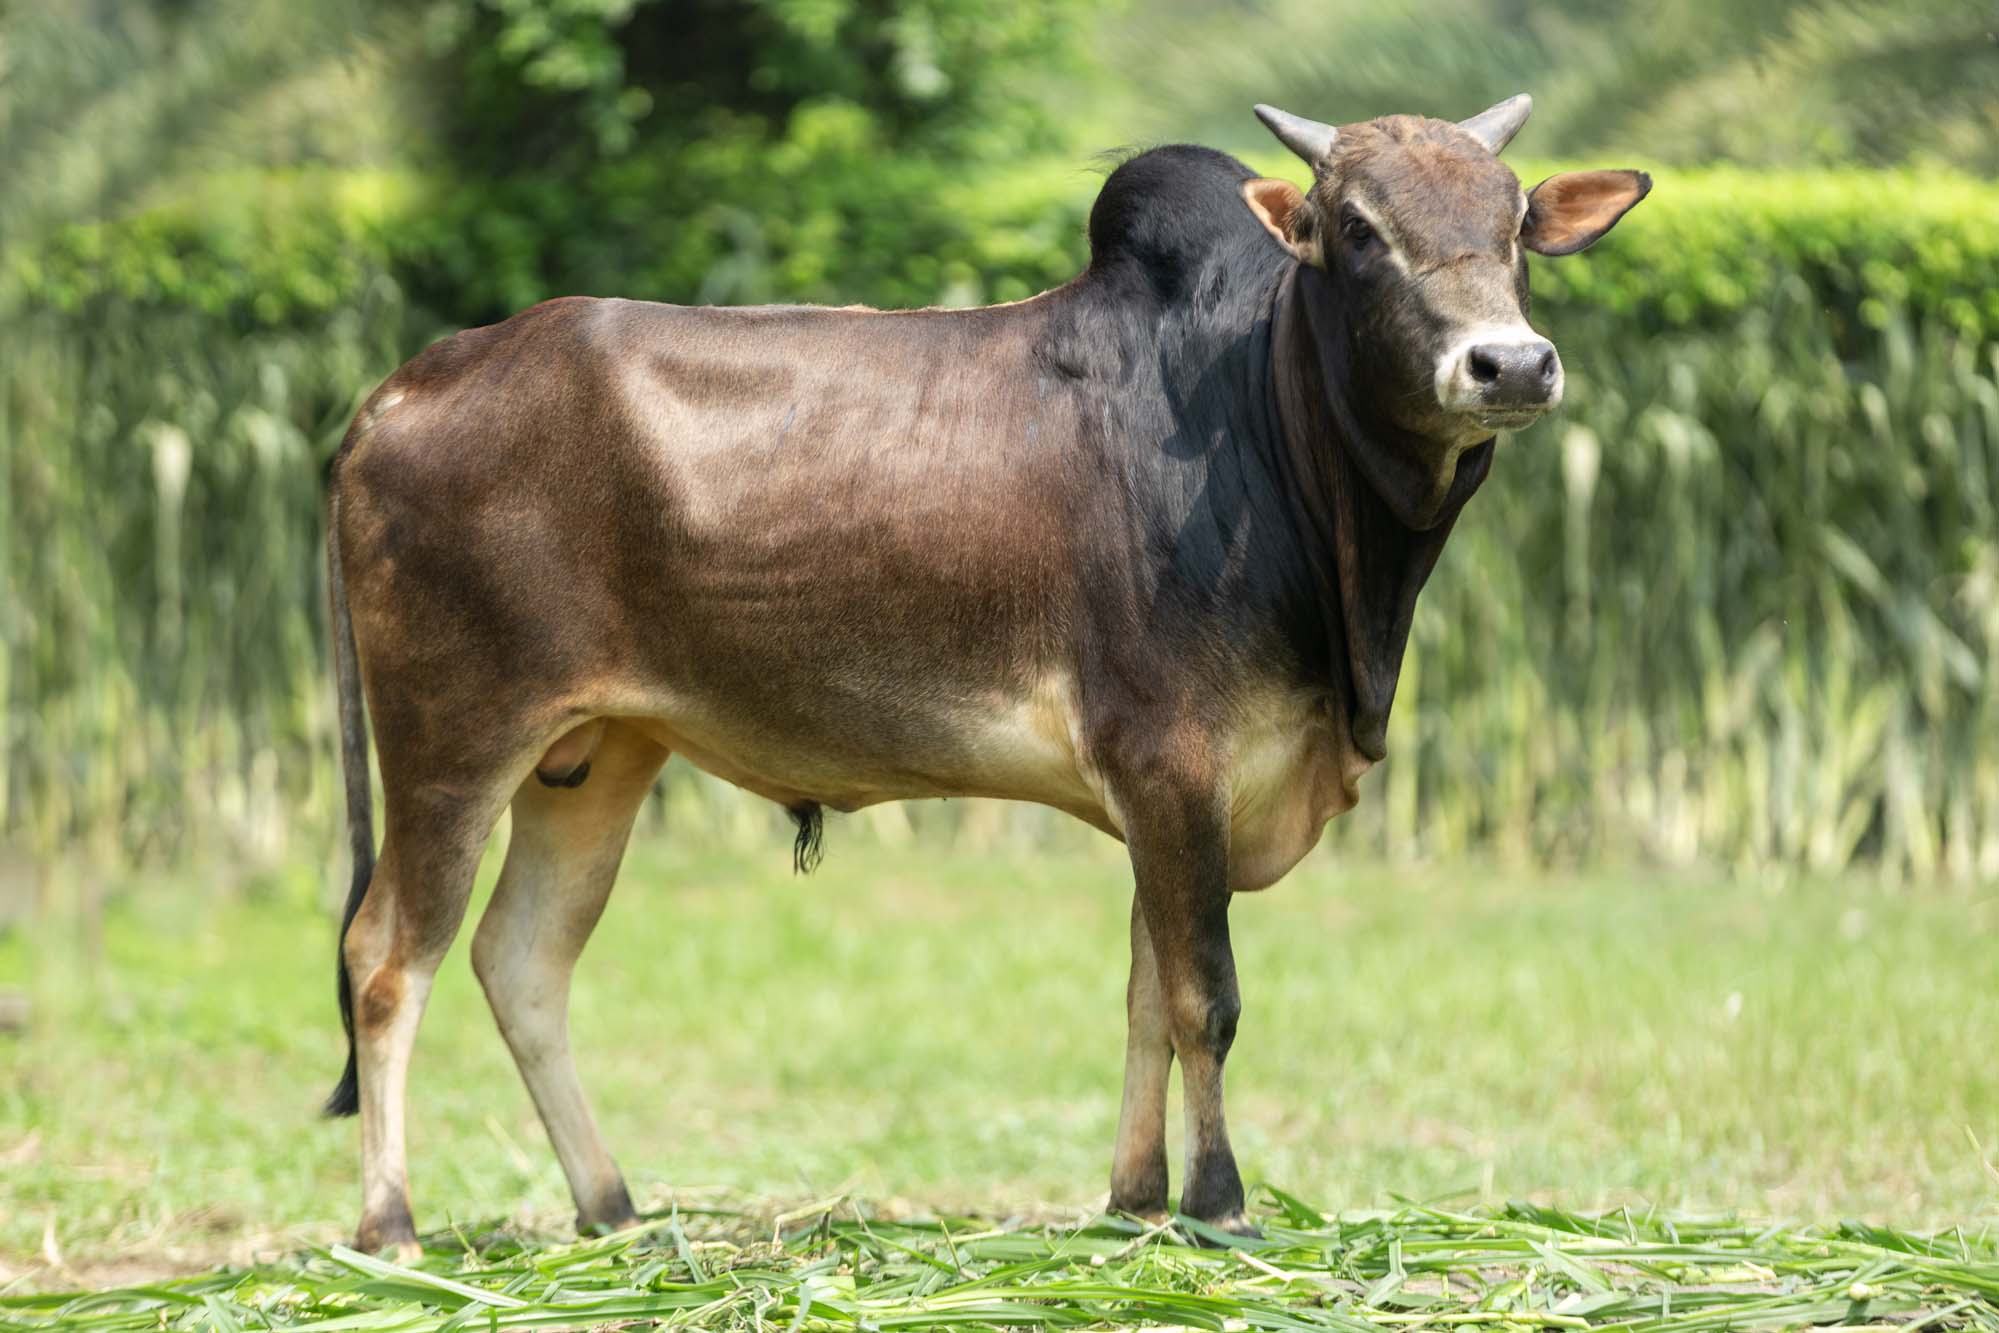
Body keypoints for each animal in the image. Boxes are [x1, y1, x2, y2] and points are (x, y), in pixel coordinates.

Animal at [322, 94, 1648, 1255]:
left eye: (1517, 221)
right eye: (1360, 229)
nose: (1509, 365)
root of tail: (396, 391)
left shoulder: (1170, 797)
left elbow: (1146, 995)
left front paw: (1135, 1199)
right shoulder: (1173, 762)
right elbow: (1205, 998)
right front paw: (1219, 1203)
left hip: (594, 756)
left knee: (521, 961)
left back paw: (614, 1210)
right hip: (452, 740)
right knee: (388, 957)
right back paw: (391, 1226)